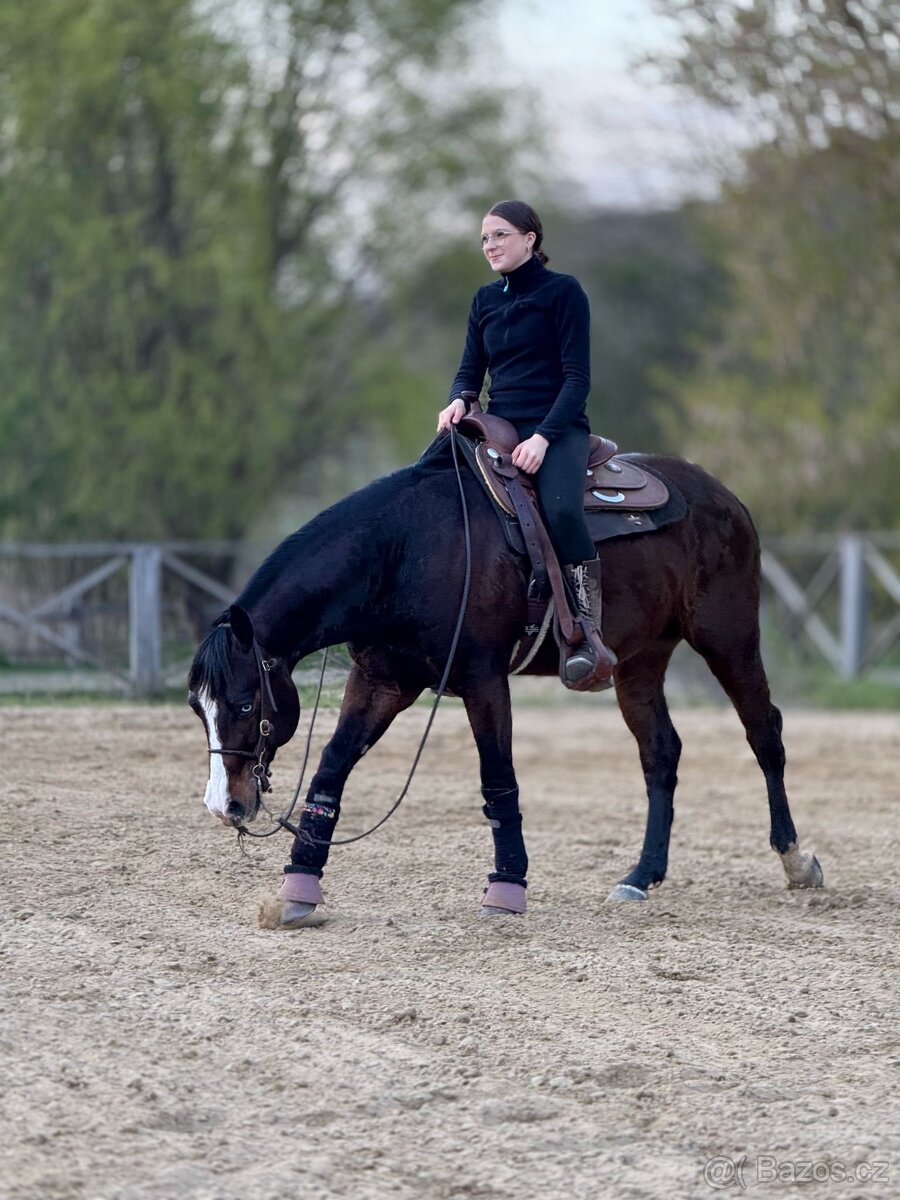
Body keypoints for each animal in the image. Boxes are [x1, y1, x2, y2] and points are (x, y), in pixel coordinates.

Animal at [188, 435, 823, 925]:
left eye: (243, 704)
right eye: (199, 708)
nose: (225, 806)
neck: (404, 553)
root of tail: (724, 496)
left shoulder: (483, 680)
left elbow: (498, 780)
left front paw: (507, 888)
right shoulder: (381, 682)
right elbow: (331, 771)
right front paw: (298, 888)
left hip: (730, 638)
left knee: (764, 733)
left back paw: (796, 860)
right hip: (640, 662)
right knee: (661, 753)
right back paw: (641, 875)